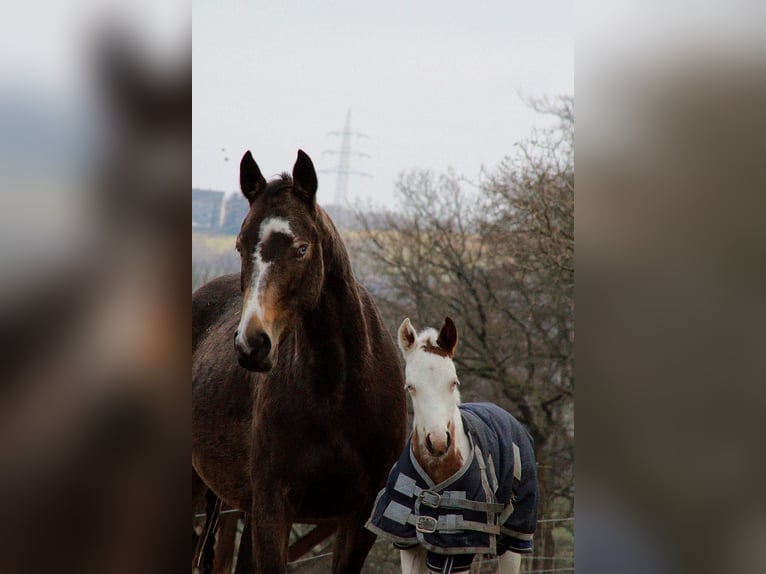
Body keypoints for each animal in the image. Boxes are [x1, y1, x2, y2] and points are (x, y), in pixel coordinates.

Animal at [194, 151, 408, 572]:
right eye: (240, 247)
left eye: (301, 248)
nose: (251, 344)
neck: (338, 392)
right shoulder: (272, 510)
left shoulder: (359, 517)